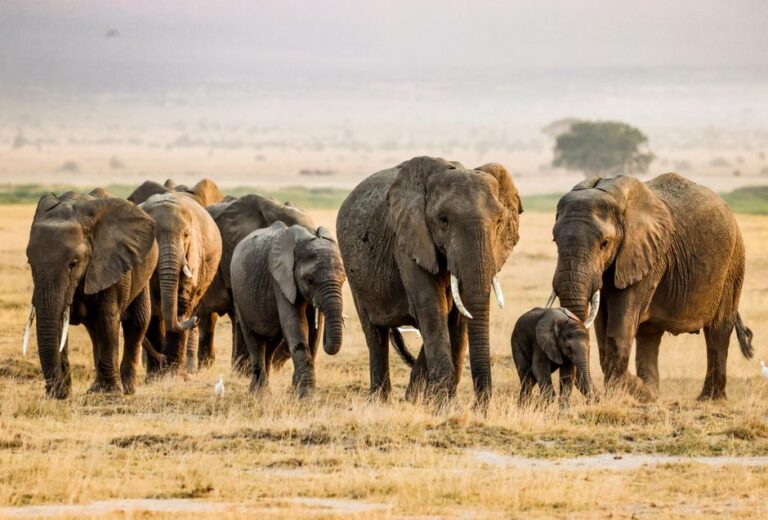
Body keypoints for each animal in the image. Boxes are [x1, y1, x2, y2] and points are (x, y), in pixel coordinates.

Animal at [25, 190, 158, 398]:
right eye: (30, 263)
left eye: (73, 263)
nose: (54, 392)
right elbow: (60, 323)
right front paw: (62, 394)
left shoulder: (110, 265)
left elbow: (107, 319)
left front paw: (110, 395)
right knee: (95, 331)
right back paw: (96, 388)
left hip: (142, 272)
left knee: (136, 323)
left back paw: (127, 390)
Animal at [139, 191, 222, 375]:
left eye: (185, 235)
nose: (195, 320)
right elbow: (152, 306)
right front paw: (156, 375)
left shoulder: (193, 252)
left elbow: (182, 300)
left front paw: (171, 374)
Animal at [230, 221, 345, 398]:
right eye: (310, 280)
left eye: (344, 279)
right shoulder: (280, 281)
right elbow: (296, 325)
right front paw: (306, 397)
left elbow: (314, 333)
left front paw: (297, 391)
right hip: (238, 295)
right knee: (253, 340)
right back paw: (259, 394)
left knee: (271, 343)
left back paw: (263, 390)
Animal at [336, 156, 522, 407]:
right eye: (443, 220)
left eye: (499, 221)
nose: (478, 407)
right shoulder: (408, 240)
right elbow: (431, 308)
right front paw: (444, 405)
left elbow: (456, 315)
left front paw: (435, 402)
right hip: (353, 271)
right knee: (375, 334)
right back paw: (378, 401)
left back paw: (410, 398)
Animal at [549, 173, 754, 401]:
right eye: (555, 241)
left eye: (605, 243)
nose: (596, 396)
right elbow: (603, 330)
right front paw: (642, 394)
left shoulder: (648, 257)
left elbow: (618, 332)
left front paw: (627, 394)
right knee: (650, 335)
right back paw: (654, 392)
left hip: (733, 262)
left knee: (718, 329)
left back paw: (708, 398)